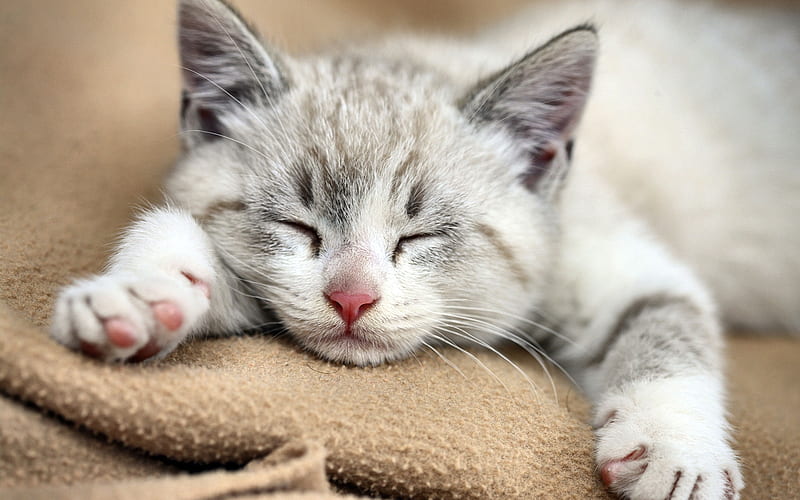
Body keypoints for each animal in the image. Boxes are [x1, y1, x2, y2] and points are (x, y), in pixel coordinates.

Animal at [48, 0, 800, 498]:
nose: (351, 298)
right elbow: (179, 241)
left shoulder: (618, 258)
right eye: (300, 226)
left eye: (420, 236)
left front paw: (678, 454)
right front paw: (137, 296)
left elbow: (666, 327)